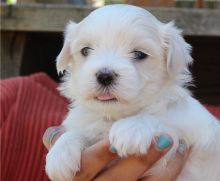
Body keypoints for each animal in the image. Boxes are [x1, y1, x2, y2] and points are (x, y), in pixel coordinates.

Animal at [45, 4, 220, 181]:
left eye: (139, 54)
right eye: (86, 51)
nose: (105, 76)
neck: (116, 116)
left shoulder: (178, 146)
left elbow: (163, 122)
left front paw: (131, 128)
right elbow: (77, 132)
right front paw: (60, 153)